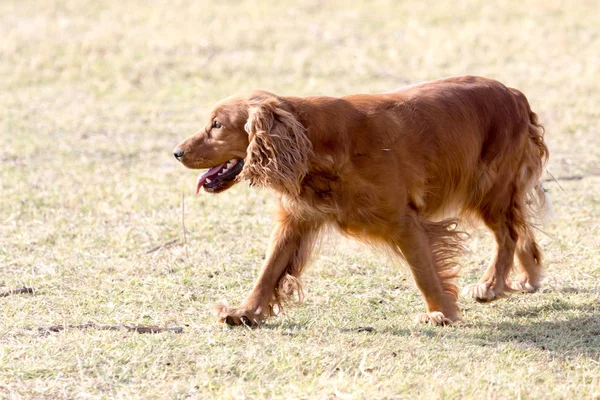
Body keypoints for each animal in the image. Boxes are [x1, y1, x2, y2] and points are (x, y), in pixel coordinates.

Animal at [172, 76, 548, 326]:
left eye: (216, 125)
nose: (176, 152)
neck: (316, 145)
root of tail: (513, 94)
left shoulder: (405, 222)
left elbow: (424, 273)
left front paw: (440, 312)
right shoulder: (296, 220)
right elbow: (268, 271)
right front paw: (245, 312)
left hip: (487, 190)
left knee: (508, 235)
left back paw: (491, 285)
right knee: (522, 231)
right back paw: (527, 277)